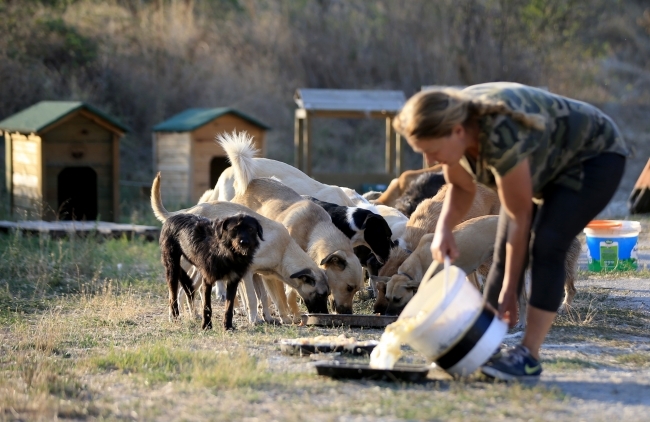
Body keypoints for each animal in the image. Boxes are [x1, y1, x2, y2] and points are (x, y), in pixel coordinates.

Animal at [151, 174, 330, 324]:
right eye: (321, 295)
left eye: (328, 295)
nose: (325, 316)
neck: (283, 250)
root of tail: (188, 211)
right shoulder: (248, 274)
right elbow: (252, 298)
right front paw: (255, 320)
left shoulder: (258, 275)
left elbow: (264, 298)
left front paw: (267, 318)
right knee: (179, 291)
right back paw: (177, 316)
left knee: (188, 289)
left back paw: (193, 315)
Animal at [220, 134, 364, 314]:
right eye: (349, 287)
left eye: (356, 289)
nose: (348, 313)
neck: (313, 229)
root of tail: (250, 182)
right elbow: (287, 294)